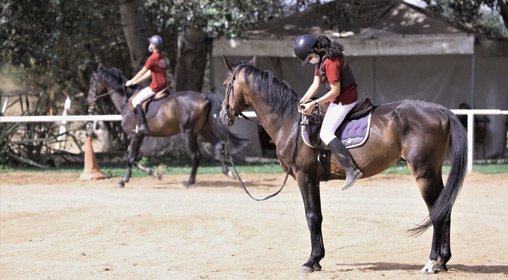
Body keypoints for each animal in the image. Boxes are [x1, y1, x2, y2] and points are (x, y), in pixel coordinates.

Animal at [87, 64, 246, 187]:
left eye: (92, 80)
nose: (89, 100)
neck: (126, 102)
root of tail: (203, 96)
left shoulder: (135, 135)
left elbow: (131, 158)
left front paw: (150, 174)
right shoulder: (140, 136)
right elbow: (132, 157)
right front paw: (126, 179)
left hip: (189, 132)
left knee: (196, 155)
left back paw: (189, 181)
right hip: (204, 130)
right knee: (219, 145)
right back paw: (228, 172)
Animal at [220, 57, 466, 274]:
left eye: (225, 84)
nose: (223, 114)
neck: (290, 123)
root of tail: (440, 109)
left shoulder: (305, 176)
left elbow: (312, 216)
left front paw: (311, 261)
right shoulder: (313, 179)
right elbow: (317, 215)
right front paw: (317, 259)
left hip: (423, 173)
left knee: (436, 212)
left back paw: (431, 263)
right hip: (434, 171)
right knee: (445, 208)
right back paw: (443, 261)